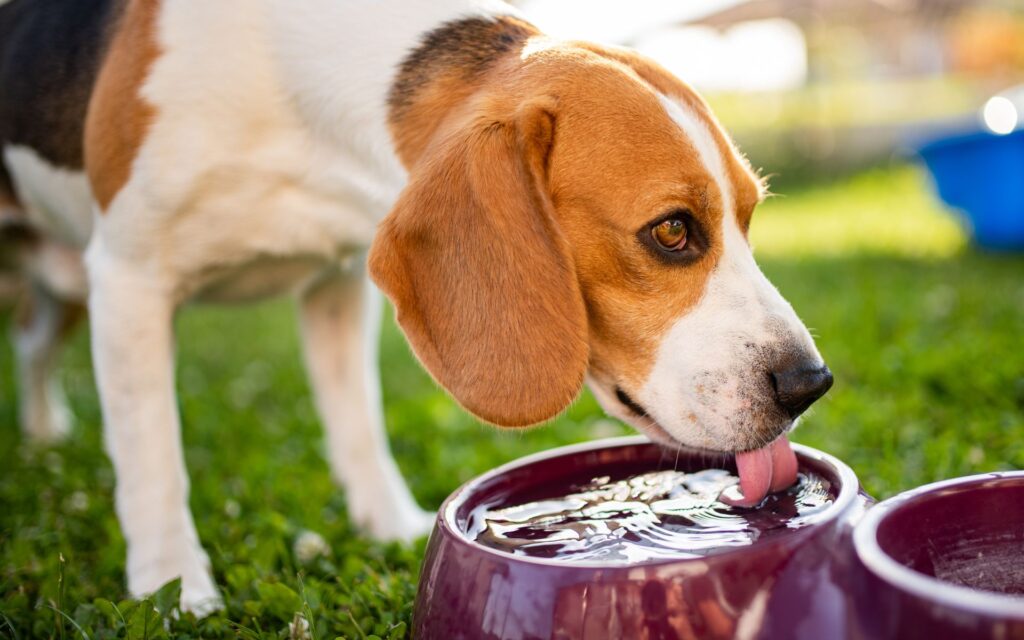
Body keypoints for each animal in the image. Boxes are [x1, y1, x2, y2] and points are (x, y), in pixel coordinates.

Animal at [0, 0, 831, 610]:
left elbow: (358, 423)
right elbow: (152, 458)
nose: (809, 385)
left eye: (749, 217)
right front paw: (174, 591)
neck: (292, 97)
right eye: (672, 231)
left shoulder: (335, 283)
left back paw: (42, 432)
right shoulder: (130, 276)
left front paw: (390, 527)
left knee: (33, 346)